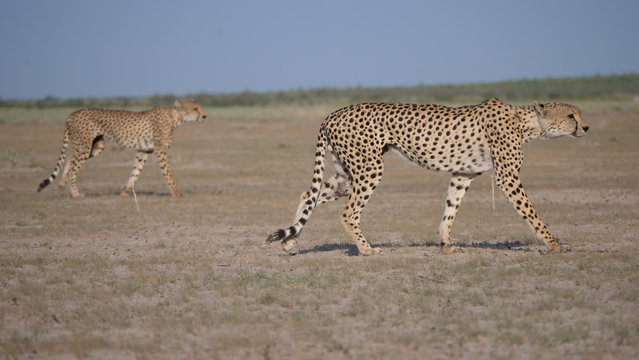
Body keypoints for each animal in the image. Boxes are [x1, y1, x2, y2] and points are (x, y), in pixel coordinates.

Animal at [37, 100, 206, 198]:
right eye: (195, 109)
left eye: (201, 108)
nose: (204, 116)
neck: (175, 117)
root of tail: (71, 114)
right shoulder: (160, 151)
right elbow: (168, 173)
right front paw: (176, 192)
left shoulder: (144, 151)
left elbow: (135, 172)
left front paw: (124, 191)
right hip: (85, 146)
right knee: (74, 167)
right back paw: (75, 194)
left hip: (96, 146)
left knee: (72, 157)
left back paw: (62, 184)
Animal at [264, 98, 592, 256]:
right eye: (571, 116)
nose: (587, 128)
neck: (526, 123)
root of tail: (331, 114)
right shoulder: (507, 177)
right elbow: (532, 214)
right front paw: (554, 244)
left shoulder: (463, 173)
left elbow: (450, 209)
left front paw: (445, 244)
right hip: (370, 168)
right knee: (346, 212)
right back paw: (366, 249)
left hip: (347, 174)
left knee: (309, 195)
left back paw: (289, 243)